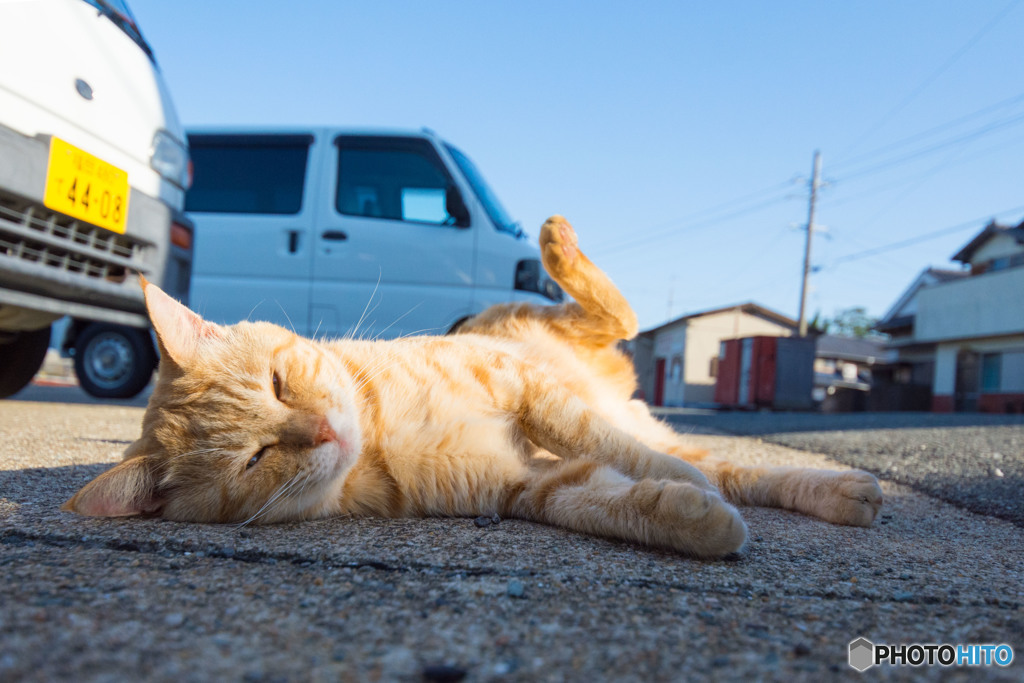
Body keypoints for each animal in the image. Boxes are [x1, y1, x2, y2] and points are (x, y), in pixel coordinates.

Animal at [64, 216, 880, 557]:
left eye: (277, 380)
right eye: (255, 459)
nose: (323, 431)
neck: (379, 432)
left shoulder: (523, 386)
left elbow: (603, 439)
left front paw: (673, 481)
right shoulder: (526, 486)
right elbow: (616, 502)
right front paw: (694, 517)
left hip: (552, 331)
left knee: (619, 315)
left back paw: (558, 239)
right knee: (744, 473)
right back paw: (840, 492)